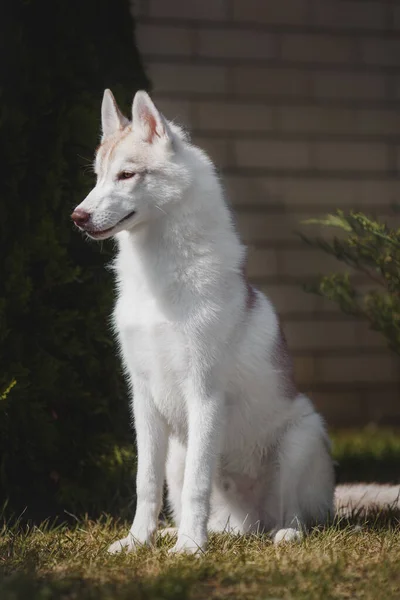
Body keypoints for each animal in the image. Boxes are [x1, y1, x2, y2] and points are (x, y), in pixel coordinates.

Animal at [71, 89, 396, 552]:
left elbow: (197, 485)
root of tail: (250, 523)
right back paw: (182, 532)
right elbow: (144, 484)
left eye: (127, 175)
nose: (77, 217)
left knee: (295, 515)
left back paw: (282, 534)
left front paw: (190, 549)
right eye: (98, 177)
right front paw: (137, 543)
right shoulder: (144, 401)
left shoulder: (204, 395)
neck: (158, 280)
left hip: (299, 441)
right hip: (178, 455)